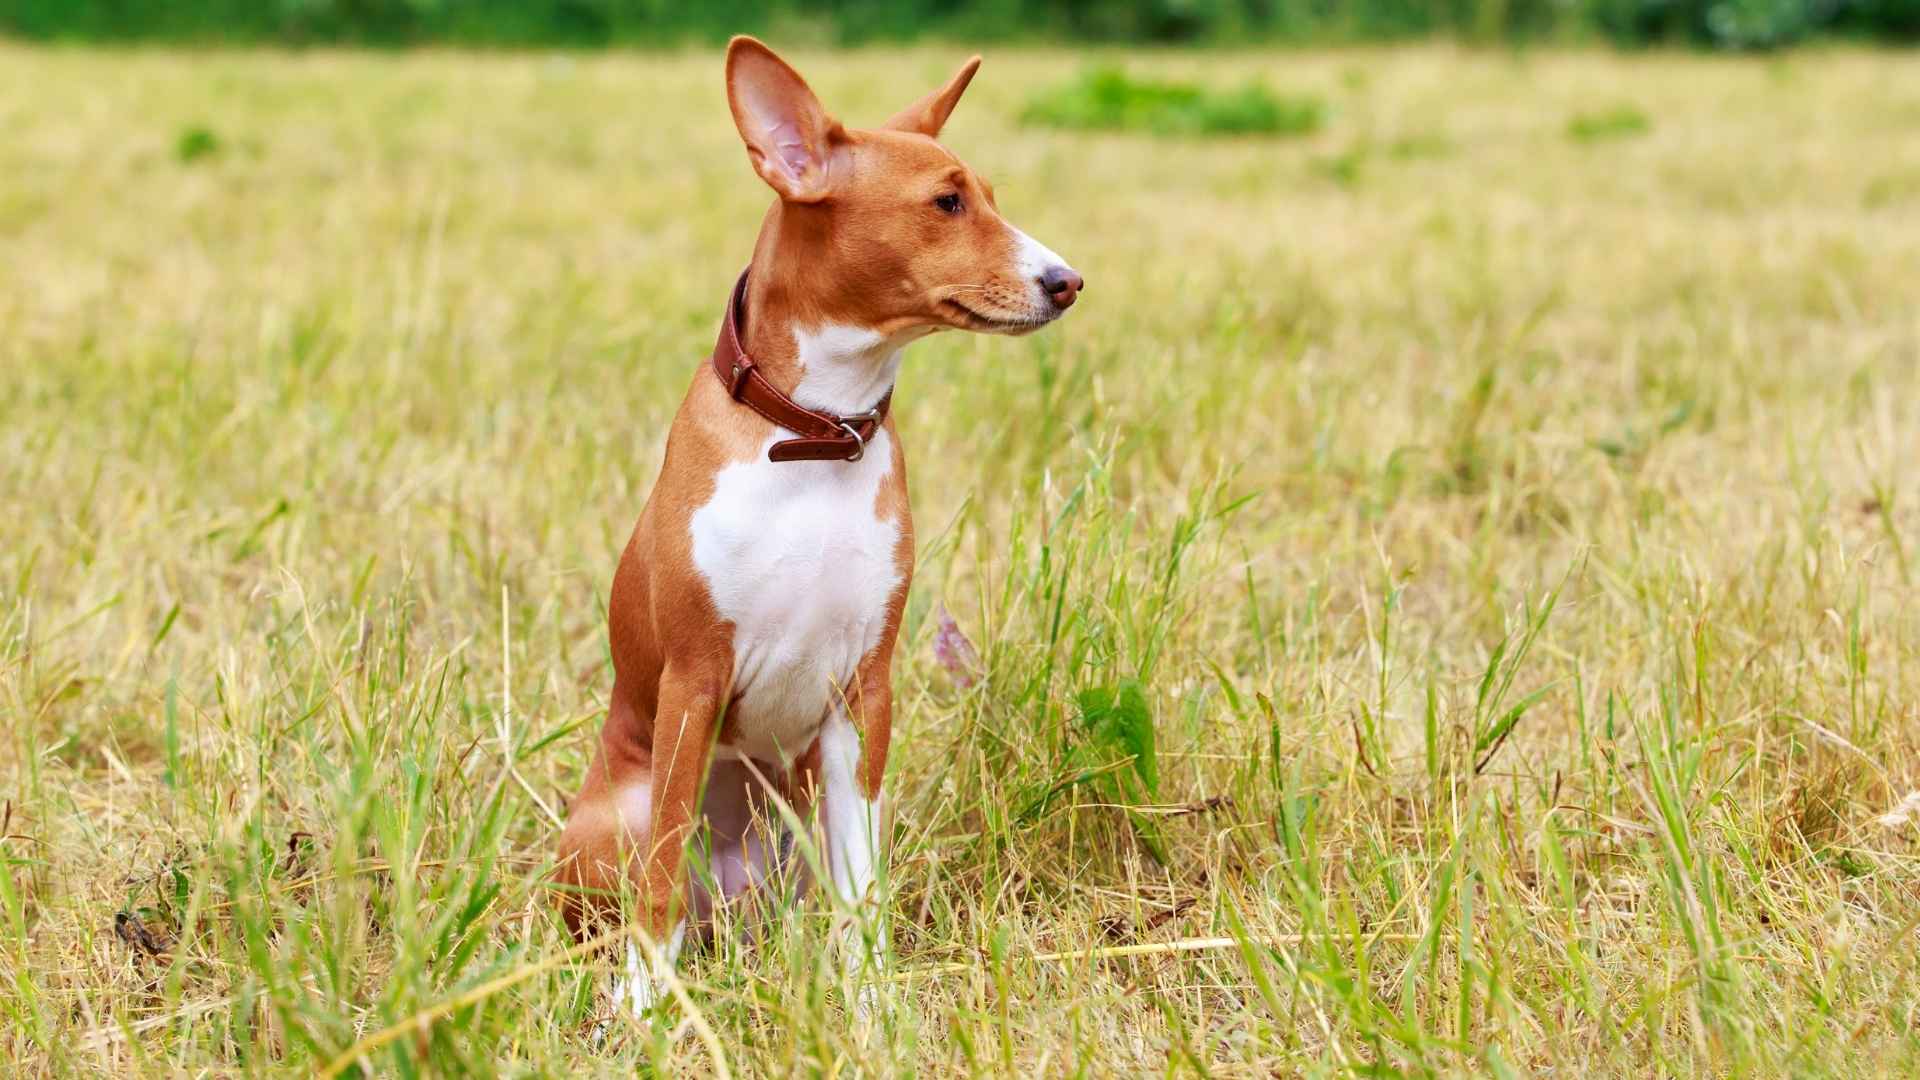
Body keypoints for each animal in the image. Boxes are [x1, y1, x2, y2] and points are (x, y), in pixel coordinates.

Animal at [556, 37, 1082, 1014]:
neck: (813, 439)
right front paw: (645, 1003)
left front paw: (871, 1002)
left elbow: (863, 885)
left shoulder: (862, 694)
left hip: (793, 830)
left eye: (988, 195)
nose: (1067, 281)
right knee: (648, 887)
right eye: (946, 201)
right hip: (619, 818)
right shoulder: (694, 680)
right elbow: (659, 884)